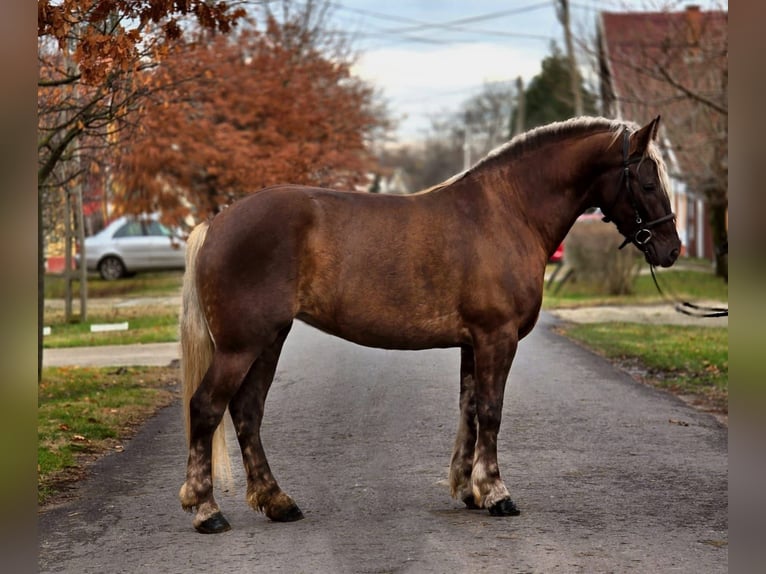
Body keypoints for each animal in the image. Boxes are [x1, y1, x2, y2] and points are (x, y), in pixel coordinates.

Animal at [178, 116, 681, 533]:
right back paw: (206, 510)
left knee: (247, 412)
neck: (508, 211)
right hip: (242, 345)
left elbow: (470, 410)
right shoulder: (496, 337)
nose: (672, 249)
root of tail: (215, 224)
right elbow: (492, 410)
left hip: (269, 340)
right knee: (206, 407)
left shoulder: (473, 343)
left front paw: (468, 489)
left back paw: (277, 501)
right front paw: (496, 493)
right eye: (647, 180)